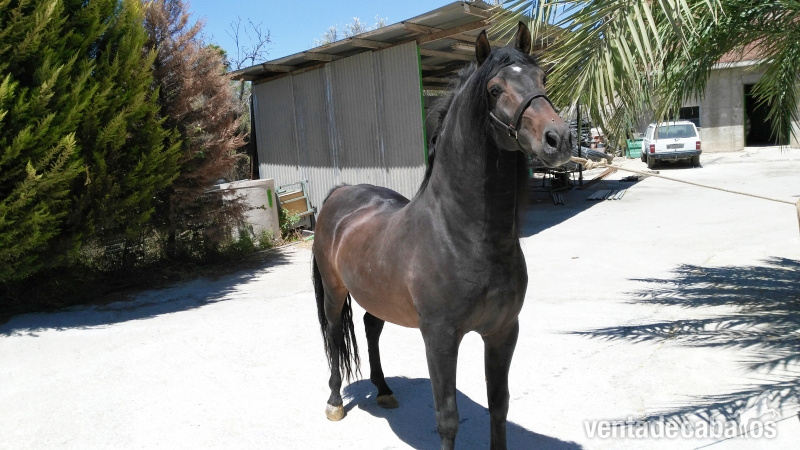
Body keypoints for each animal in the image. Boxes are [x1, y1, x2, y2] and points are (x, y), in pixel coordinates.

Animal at [311, 22, 573, 449]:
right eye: (494, 90)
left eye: (542, 78)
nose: (559, 139)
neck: (461, 236)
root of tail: (341, 192)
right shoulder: (440, 338)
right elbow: (448, 418)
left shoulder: (503, 331)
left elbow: (499, 404)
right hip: (334, 293)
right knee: (334, 336)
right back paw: (334, 401)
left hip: (375, 295)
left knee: (370, 327)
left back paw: (384, 390)